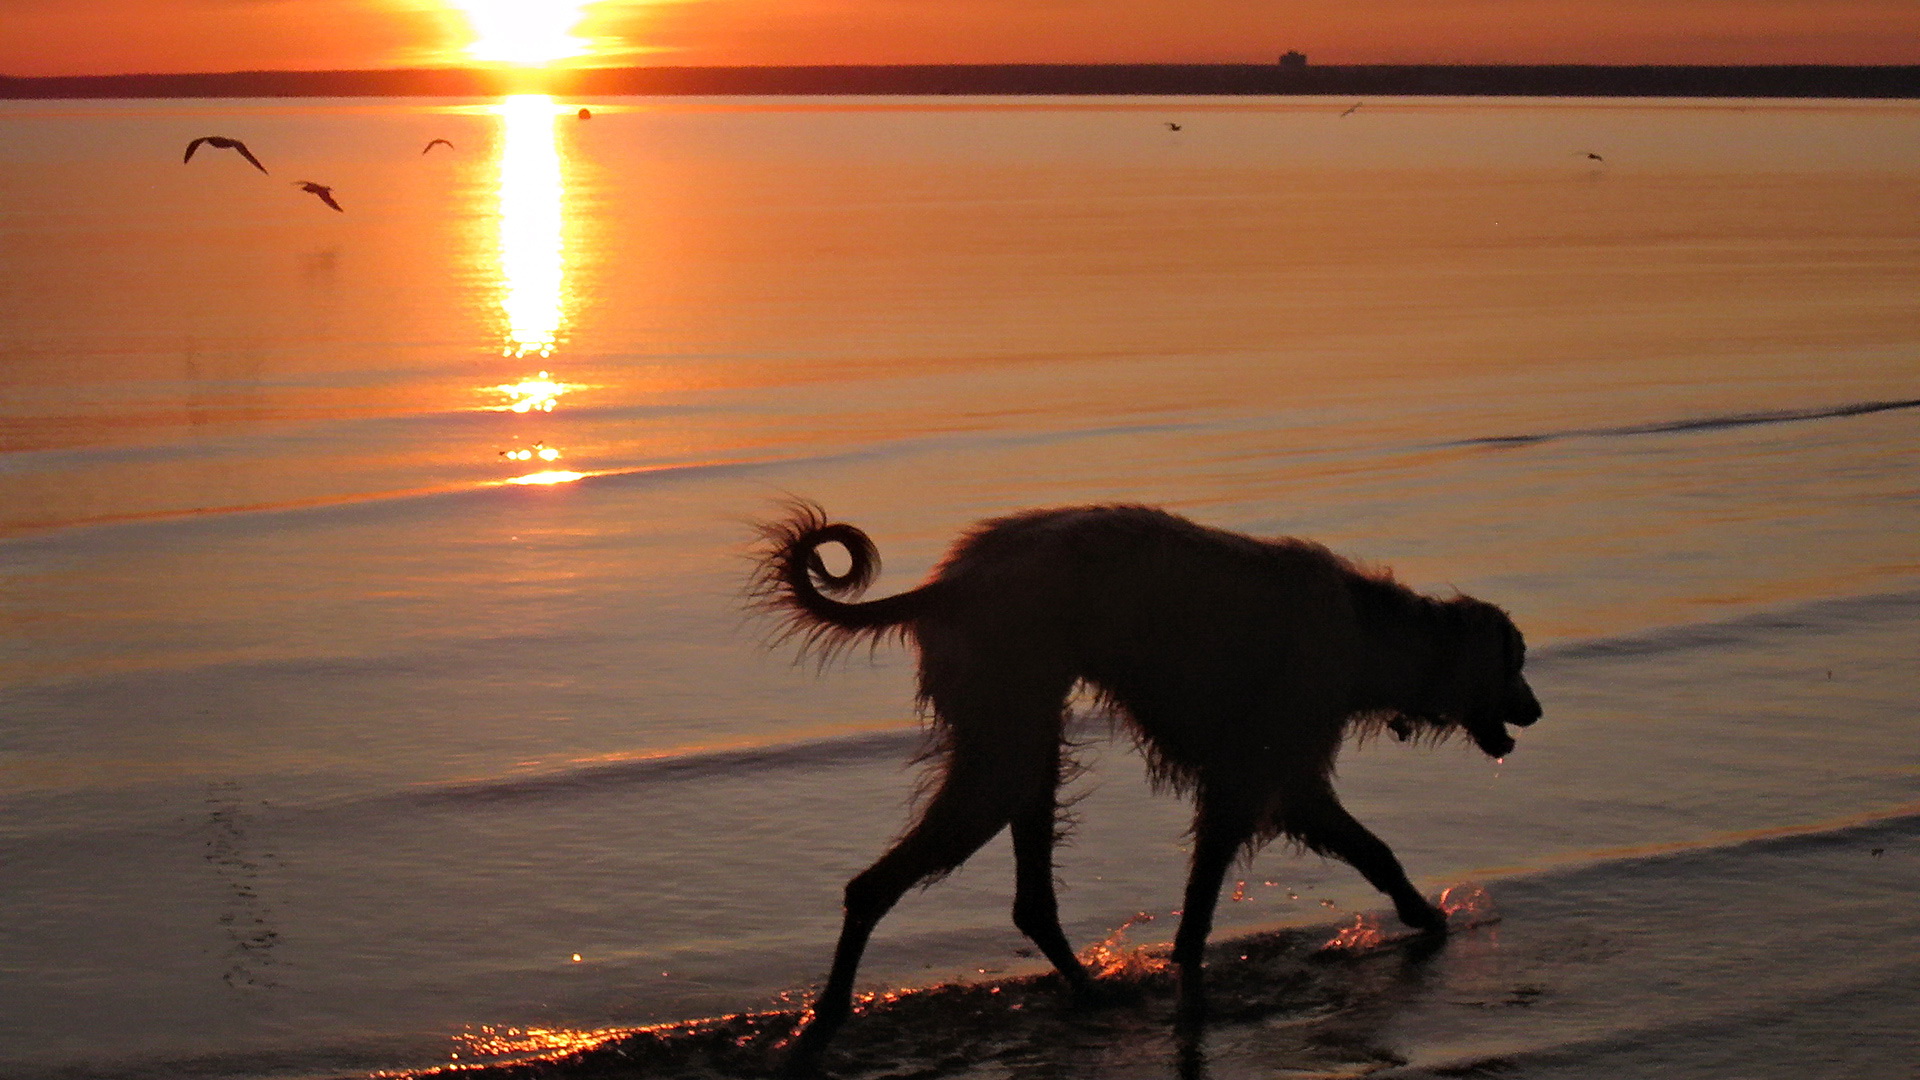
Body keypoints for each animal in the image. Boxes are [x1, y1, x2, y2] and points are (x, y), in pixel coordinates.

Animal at [752, 499, 1543, 1060]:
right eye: (1516, 659)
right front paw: (1424, 916)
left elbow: (1342, 853)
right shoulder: (1264, 772)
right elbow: (1299, 865)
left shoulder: (1266, 774)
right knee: (876, 887)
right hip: (1005, 735)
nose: (1535, 712)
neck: (1372, 629)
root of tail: (945, 587)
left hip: (1021, 739)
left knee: (1027, 901)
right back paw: (829, 1016)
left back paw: (1085, 990)